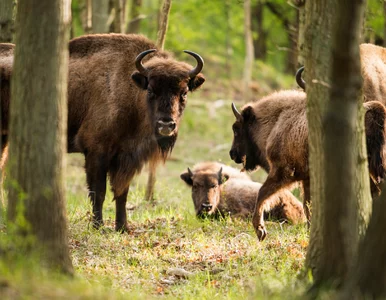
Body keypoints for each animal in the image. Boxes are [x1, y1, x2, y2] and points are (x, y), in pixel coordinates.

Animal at [0, 34, 205, 232]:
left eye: (184, 92)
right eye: (151, 90)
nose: (166, 124)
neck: (129, 90)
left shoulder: (125, 158)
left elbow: (121, 193)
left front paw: (122, 227)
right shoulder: (97, 153)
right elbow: (99, 192)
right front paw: (98, 226)